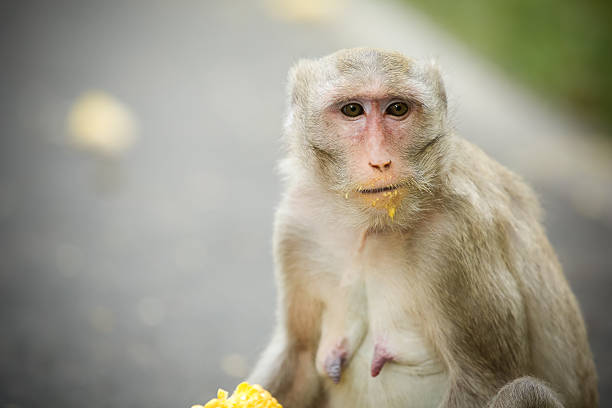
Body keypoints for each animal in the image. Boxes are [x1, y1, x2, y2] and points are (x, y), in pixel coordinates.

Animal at [245, 48, 596, 408]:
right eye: (352, 110)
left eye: (397, 109)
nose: (380, 161)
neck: (370, 227)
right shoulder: (297, 225)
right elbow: (300, 355)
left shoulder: (455, 235)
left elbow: (481, 380)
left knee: (523, 390)